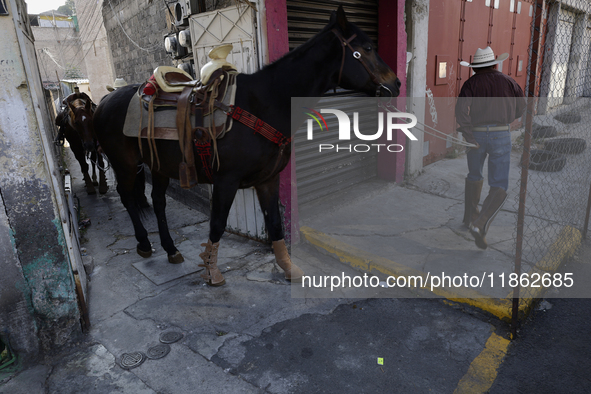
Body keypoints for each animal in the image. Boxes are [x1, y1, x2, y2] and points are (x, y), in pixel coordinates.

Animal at [92, 6, 402, 286]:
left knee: (157, 201)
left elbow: (275, 224)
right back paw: (145, 243)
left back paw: (171, 249)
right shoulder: (226, 181)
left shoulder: (268, 180)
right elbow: (217, 224)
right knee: (128, 198)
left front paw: (288, 268)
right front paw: (211, 272)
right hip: (125, 165)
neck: (264, 104)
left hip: (158, 166)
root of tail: (104, 102)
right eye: (367, 48)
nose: (396, 83)